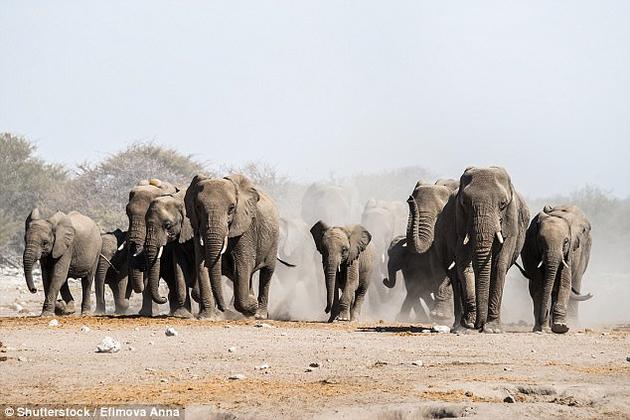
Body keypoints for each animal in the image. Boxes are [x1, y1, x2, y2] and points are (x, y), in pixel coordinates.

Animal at [185, 173, 284, 318]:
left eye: (231, 208)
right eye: (198, 207)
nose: (222, 308)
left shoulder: (246, 227)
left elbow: (242, 263)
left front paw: (251, 305)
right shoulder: (197, 226)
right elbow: (201, 264)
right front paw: (207, 317)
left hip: (273, 240)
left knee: (266, 272)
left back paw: (259, 314)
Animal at [456, 166, 532, 334]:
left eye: (502, 204)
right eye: (464, 202)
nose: (478, 326)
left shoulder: (511, 222)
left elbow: (499, 265)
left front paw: (492, 329)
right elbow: (465, 263)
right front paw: (469, 326)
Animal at [520, 205, 596, 334]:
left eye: (566, 242)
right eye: (540, 241)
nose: (543, 325)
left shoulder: (569, 252)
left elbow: (564, 282)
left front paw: (560, 327)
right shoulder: (530, 249)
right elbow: (538, 285)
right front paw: (541, 328)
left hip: (585, 252)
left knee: (575, 280)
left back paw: (571, 324)